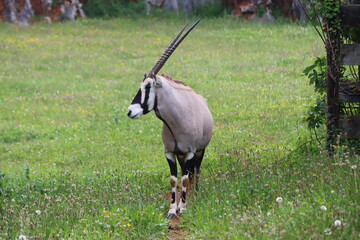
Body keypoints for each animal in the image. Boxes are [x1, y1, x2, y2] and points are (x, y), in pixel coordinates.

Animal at [126, 19, 212, 218]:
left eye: (148, 86)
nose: (130, 111)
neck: (176, 121)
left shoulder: (190, 151)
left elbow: (186, 179)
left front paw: (184, 206)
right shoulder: (170, 152)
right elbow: (174, 179)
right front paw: (173, 208)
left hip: (199, 151)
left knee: (195, 172)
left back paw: (195, 194)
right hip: (182, 155)